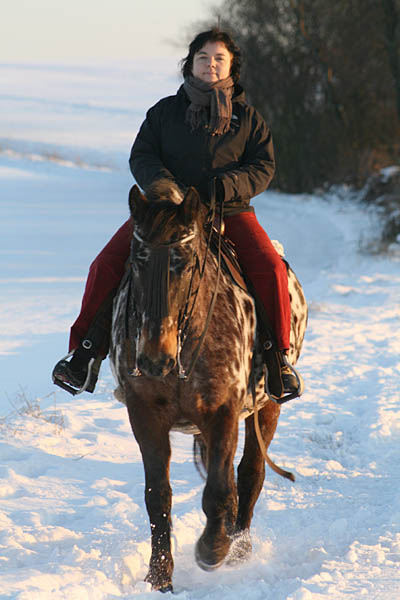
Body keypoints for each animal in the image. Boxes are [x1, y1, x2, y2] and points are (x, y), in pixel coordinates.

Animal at [109, 179, 307, 592]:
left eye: (184, 263)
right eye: (137, 261)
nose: (154, 359)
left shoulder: (222, 412)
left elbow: (220, 488)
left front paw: (212, 550)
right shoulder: (145, 415)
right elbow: (158, 496)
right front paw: (159, 578)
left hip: (267, 406)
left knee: (250, 473)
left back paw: (238, 548)